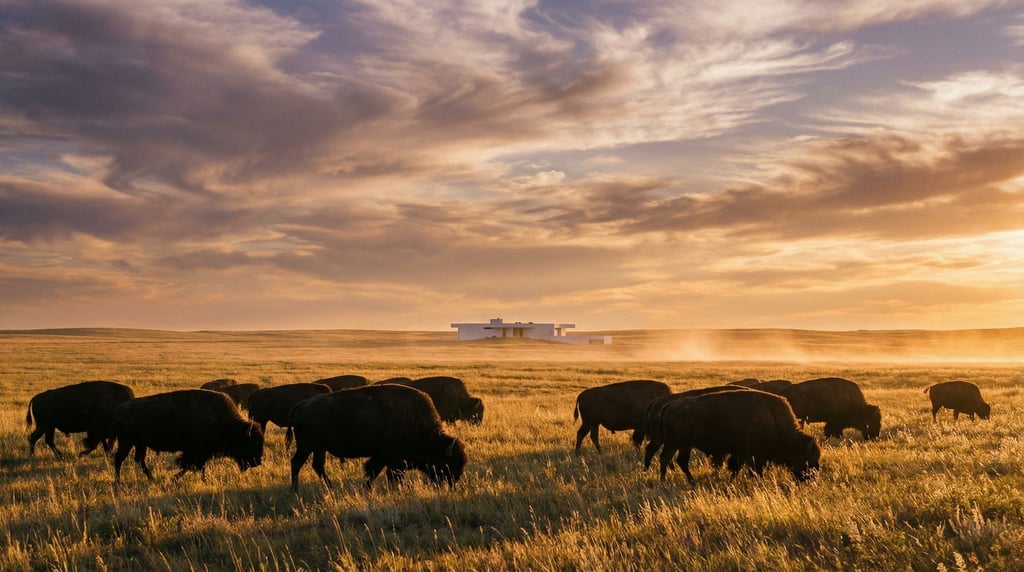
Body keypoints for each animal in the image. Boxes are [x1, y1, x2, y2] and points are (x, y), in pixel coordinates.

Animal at [112, 389, 263, 482]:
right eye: (253, 443)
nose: (257, 462)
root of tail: (119, 409)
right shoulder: (196, 452)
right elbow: (191, 465)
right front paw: (175, 479)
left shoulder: (201, 453)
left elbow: (195, 467)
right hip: (127, 442)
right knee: (119, 458)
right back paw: (118, 482)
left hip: (140, 443)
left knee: (139, 460)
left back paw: (151, 478)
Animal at [290, 384, 467, 491]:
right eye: (448, 464)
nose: (451, 485)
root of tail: (302, 405)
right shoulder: (391, 459)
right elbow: (384, 474)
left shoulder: (384, 458)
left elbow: (376, 473)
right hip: (306, 446)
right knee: (297, 463)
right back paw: (295, 491)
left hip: (319, 448)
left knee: (317, 465)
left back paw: (330, 488)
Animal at [657, 390, 820, 484]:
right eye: (807, 458)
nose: (811, 477)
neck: (774, 420)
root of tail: (669, 406)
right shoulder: (754, 455)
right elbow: (752, 470)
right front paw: (760, 482)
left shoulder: (741, 454)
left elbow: (736, 468)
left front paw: (731, 481)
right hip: (675, 444)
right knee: (666, 459)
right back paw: (665, 481)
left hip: (684, 445)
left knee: (679, 461)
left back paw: (689, 482)